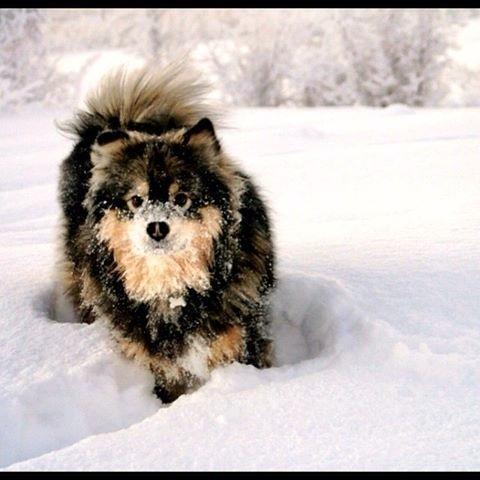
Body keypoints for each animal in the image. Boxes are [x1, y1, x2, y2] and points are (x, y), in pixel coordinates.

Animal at [54, 62, 276, 402]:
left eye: (181, 198)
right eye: (136, 200)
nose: (157, 227)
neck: (171, 291)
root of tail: (120, 119)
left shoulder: (240, 341)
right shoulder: (159, 364)